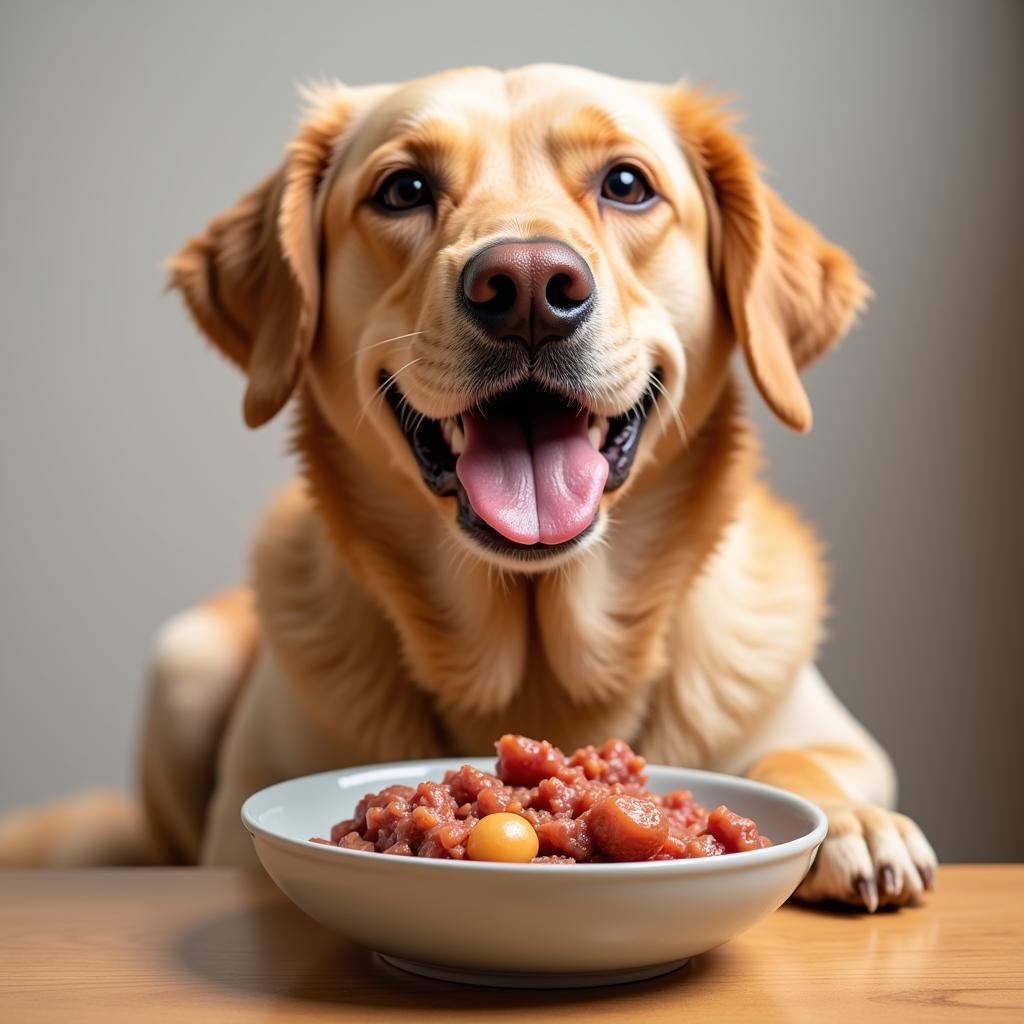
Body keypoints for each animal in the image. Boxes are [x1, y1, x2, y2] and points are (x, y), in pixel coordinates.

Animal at [0, 66, 937, 913]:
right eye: (404, 188)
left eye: (626, 184)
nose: (528, 287)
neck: (534, 653)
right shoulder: (239, 807)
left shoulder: (838, 736)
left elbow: (807, 759)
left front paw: (854, 821)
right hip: (184, 660)